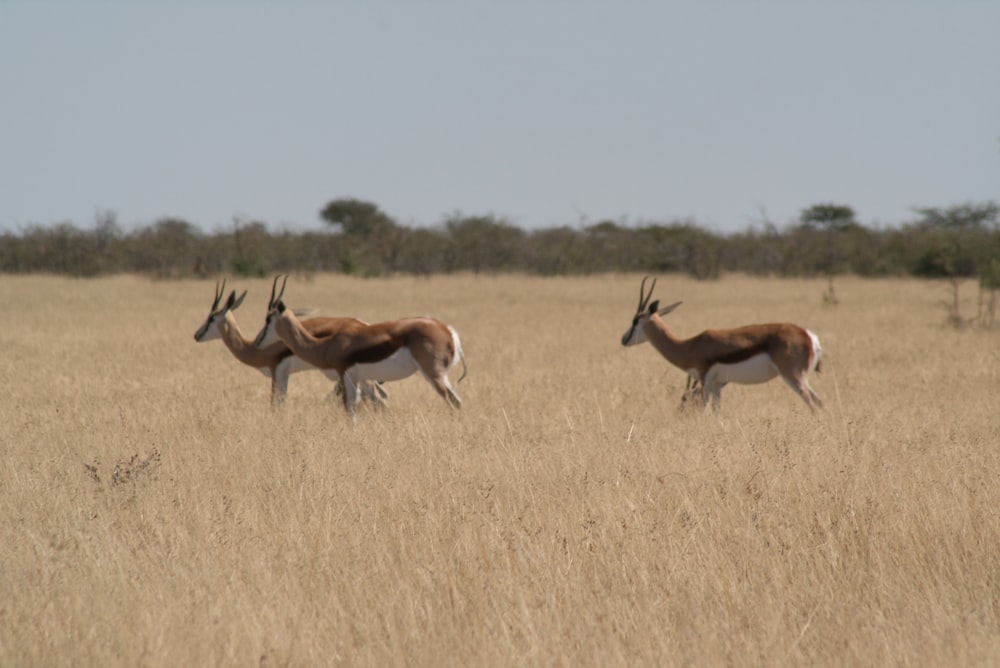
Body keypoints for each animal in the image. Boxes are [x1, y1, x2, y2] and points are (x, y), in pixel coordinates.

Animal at [193, 278, 388, 404]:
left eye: (211, 318)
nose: (196, 335)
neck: (255, 349)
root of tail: (364, 324)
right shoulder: (285, 375)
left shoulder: (276, 371)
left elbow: (276, 405)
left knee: (380, 397)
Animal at [254, 272, 464, 410]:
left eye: (268, 319)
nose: (257, 342)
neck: (326, 345)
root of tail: (447, 330)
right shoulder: (355, 379)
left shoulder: (345, 375)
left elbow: (350, 410)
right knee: (458, 402)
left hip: (434, 375)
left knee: (452, 402)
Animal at [620, 274, 824, 410]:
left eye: (635, 320)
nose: (623, 339)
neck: (690, 346)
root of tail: (808, 335)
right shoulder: (718, 385)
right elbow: (717, 413)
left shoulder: (705, 381)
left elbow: (703, 410)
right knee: (819, 402)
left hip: (793, 377)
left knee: (813, 402)